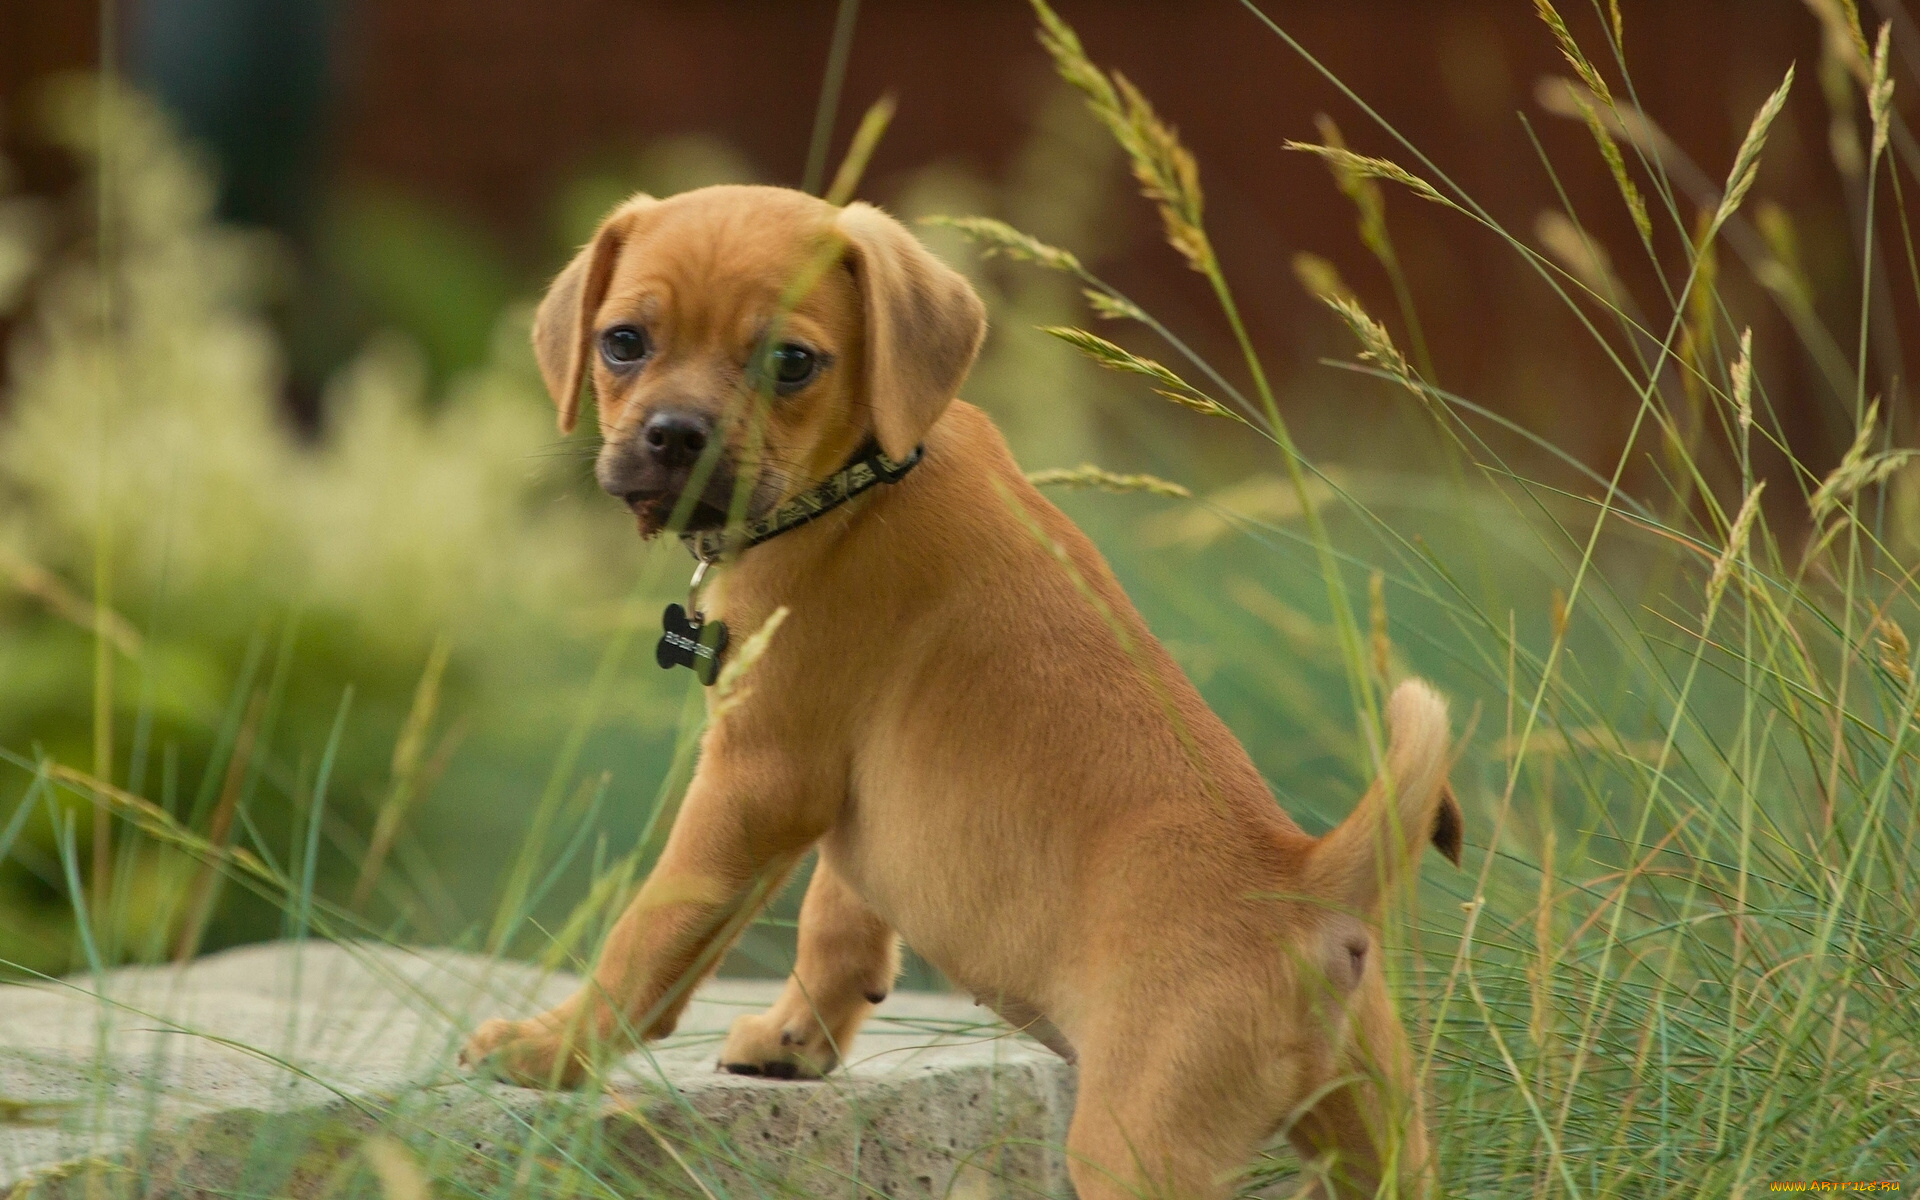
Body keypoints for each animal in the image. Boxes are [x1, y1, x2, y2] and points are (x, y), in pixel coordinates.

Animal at [460, 182, 1451, 1190]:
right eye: (623, 342)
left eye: (791, 362)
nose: (673, 436)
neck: (865, 477)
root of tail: (1310, 890)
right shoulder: (854, 805)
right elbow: (837, 926)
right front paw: (794, 1042)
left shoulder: (757, 781)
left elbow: (653, 930)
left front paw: (551, 1051)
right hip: (1381, 1143)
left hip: (1136, 1149)